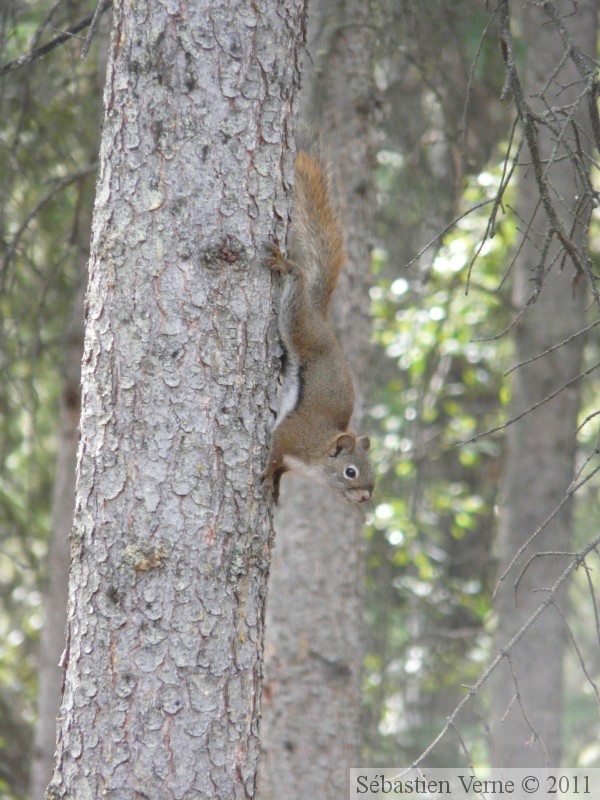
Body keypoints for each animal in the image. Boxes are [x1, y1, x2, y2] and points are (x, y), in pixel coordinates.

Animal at [264, 149, 376, 500]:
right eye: (351, 472)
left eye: (373, 471)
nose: (366, 497)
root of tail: (321, 317)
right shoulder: (292, 436)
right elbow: (275, 451)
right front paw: (267, 474)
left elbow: (282, 470)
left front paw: (276, 485)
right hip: (299, 324)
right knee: (298, 280)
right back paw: (287, 266)